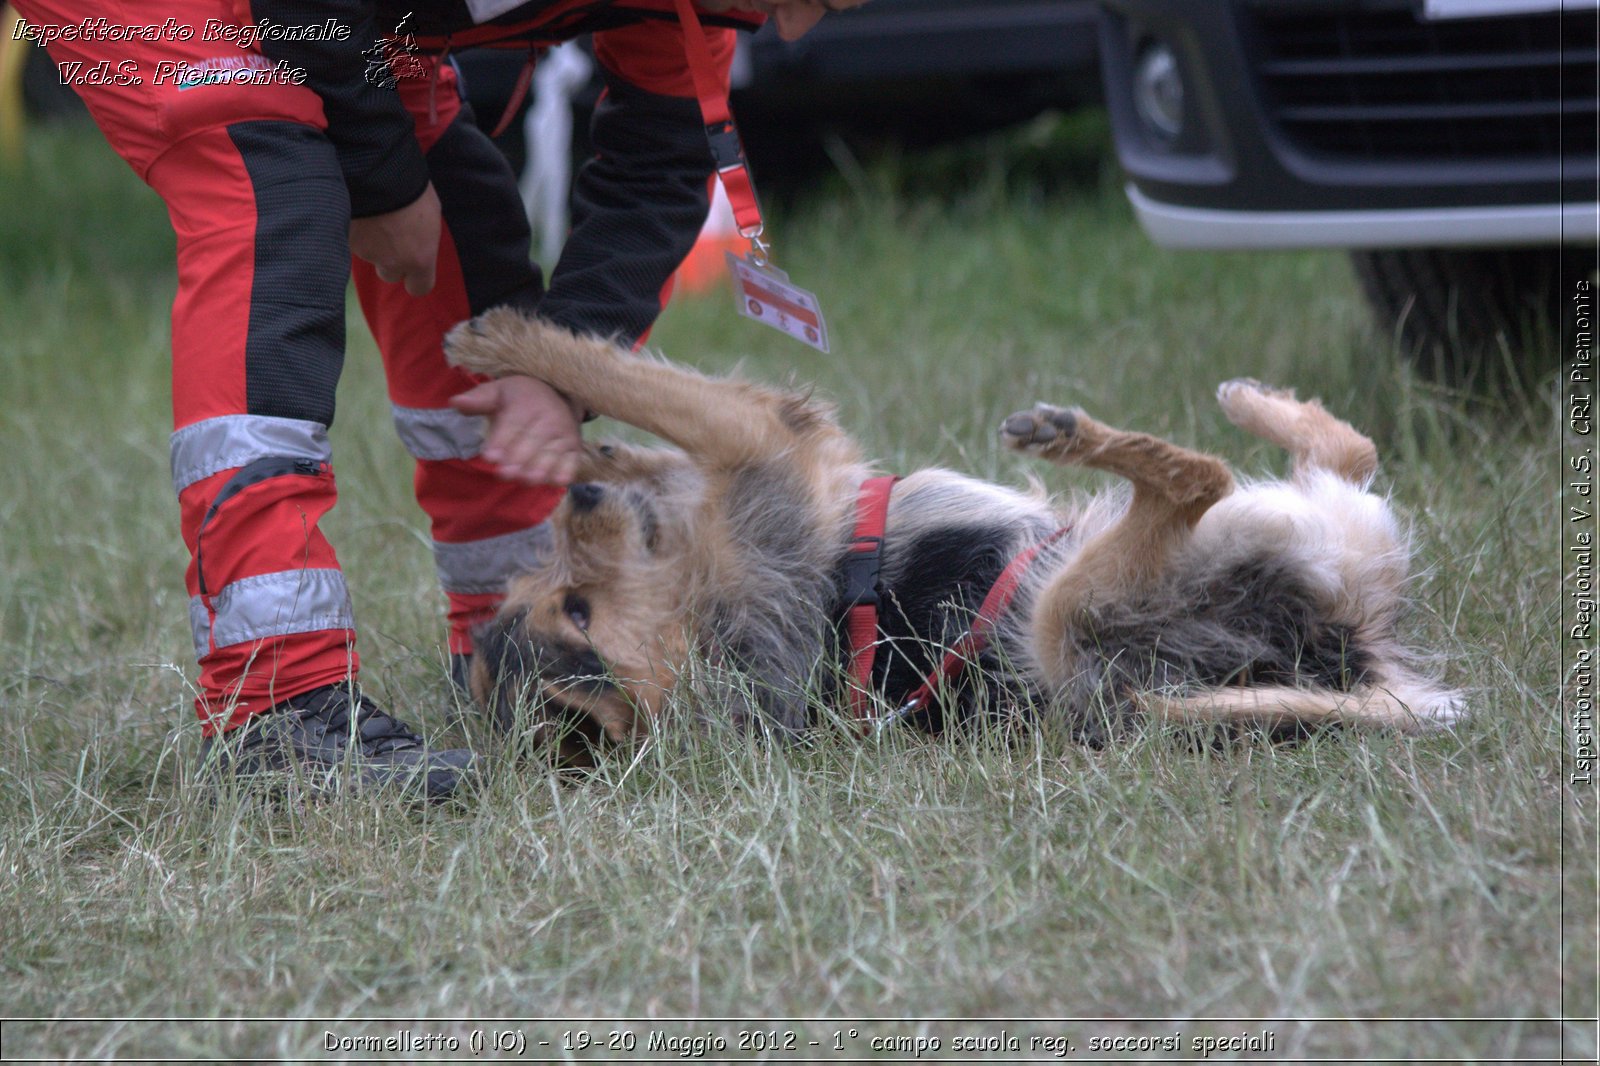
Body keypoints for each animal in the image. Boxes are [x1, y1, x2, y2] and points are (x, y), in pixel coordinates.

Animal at [448, 308, 1465, 765]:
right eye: (577, 610)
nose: (579, 496)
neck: (695, 624)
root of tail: (1345, 648)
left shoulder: (744, 463)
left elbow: (649, 422)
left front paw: (583, 439)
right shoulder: (768, 446)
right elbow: (630, 378)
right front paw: (512, 350)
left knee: (1341, 450)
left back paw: (1249, 402)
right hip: (1069, 612)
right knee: (1205, 478)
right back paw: (1075, 432)